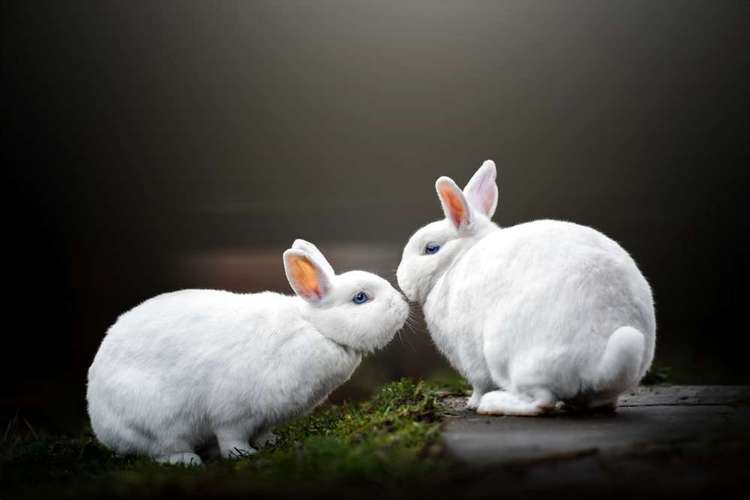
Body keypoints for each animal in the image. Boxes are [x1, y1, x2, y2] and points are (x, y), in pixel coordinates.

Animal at [88, 239, 412, 464]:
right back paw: (187, 460)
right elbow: (231, 437)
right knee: (161, 448)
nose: (404, 303)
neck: (315, 327)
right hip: (155, 420)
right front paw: (243, 454)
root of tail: (98, 417)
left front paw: (270, 442)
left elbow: (262, 432)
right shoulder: (233, 412)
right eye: (361, 298)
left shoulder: (263, 416)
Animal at [400, 162, 656, 416]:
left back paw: (492, 404)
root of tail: (599, 368)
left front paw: (472, 403)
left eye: (431, 248)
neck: (458, 259)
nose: (401, 279)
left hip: (511, 360)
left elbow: (479, 384)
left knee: (541, 402)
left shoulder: (470, 354)